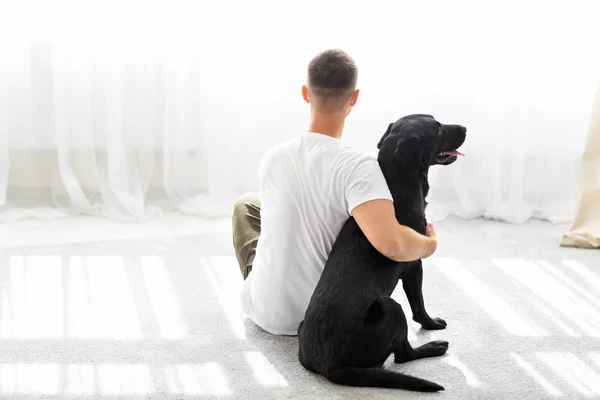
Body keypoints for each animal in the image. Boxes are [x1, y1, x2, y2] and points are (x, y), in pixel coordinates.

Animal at [298, 114, 466, 392]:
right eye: (439, 129)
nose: (464, 127)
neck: (397, 185)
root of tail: (329, 365)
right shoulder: (414, 263)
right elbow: (419, 304)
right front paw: (432, 325)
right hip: (390, 306)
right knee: (403, 355)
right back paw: (433, 347)